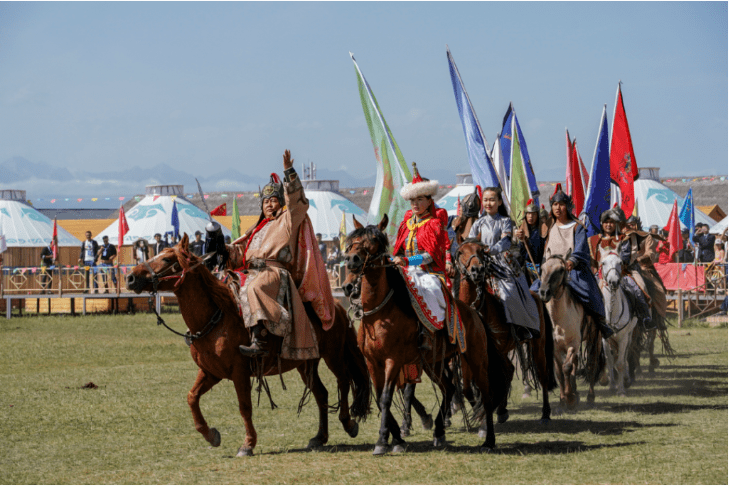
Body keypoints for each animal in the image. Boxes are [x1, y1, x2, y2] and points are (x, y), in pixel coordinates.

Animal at [124, 234, 370, 458]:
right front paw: (211, 435)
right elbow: (192, 397)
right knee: (322, 393)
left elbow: (244, 406)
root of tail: (335, 306)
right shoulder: (211, 372)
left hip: (333, 355)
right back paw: (320, 437)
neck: (217, 317)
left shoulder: (239, 372)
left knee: (344, 381)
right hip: (305, 363)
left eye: (167, 259)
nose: (130, 278)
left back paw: (348, 424)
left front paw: (247, 444)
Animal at [342, 216, 510, 456]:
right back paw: (439, 431)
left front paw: (383, 440)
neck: (379, 314)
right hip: (433, 363)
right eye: (352, 241)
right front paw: (398, 437)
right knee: (449, 388)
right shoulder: (373, 362)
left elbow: (385, 398)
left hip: (476, 359)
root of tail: (474, 313)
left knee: (485, 396)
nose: (351, 259)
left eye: (373, 240)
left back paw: (488, 439)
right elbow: (382, 396)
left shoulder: (393, 360)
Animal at [452, 240, 556, 426]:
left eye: (481, 251)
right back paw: (501, 411)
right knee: (508, 371)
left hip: (538, 344)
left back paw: (545, 413)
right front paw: (479, 411)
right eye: (461, 252)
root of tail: (535, 294)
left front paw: (484, 412)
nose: (477, 270)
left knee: (542, 375)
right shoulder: (467, 354)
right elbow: (467, 388)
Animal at [536, 252, 604, 408]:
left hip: (594, 339)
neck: (558, 321)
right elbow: (559, 372)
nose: (544, 292)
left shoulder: (573, 344)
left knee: (591, 365)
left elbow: (566, 367)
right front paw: (563, 400)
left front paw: (569, 398)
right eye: (542, 268)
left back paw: (590, 397)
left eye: (561, 270)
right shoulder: (555, 348)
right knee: (576, 363)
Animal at [596, 249, 636, 396]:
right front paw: (612, 385)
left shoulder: (623, 337)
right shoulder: (604, 338)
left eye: (620, 262)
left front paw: (621, 390)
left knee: (624, 356)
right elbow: (609, 360)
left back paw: (626, 379)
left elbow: (620, 362)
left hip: (629, 335)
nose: (613, 281)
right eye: (603, 263)